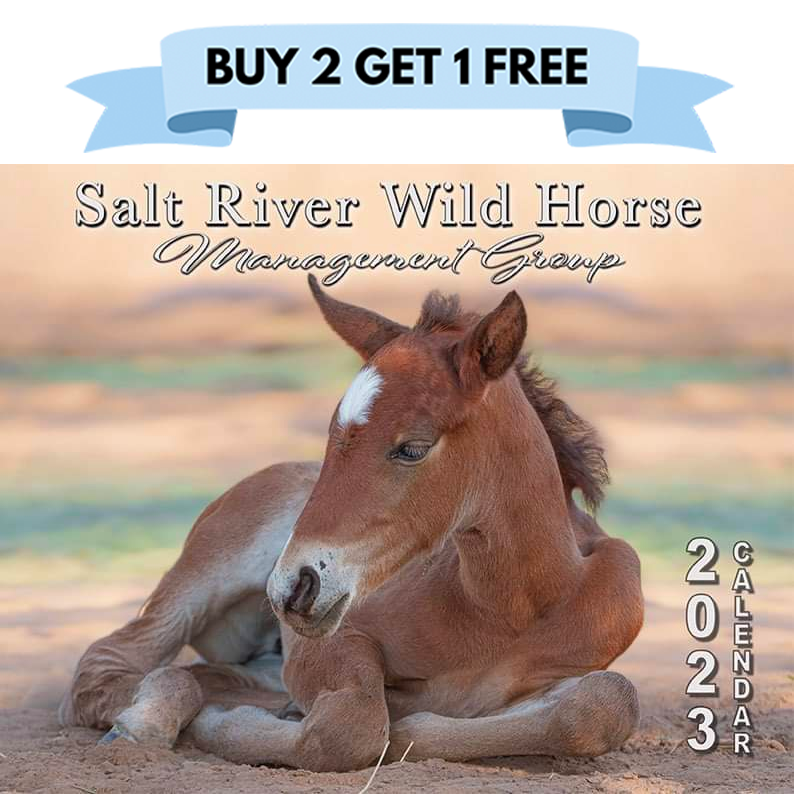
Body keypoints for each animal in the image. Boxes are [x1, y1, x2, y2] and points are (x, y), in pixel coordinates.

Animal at [59, 276, 644, 771]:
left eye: (412, 448)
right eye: (332, 436)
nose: (291, 588)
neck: (510, 606)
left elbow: (605, 703)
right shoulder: (333, 639)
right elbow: (351, 726)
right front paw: (228, 723)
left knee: (203, 673)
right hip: (206, 576)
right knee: (110, 663)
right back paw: (145, 721)